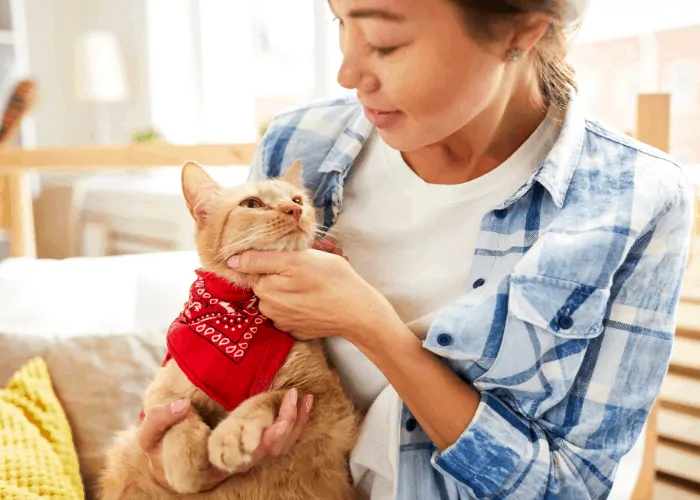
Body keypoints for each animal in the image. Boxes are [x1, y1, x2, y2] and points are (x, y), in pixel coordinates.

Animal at [98, 160, 358, 500]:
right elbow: (178, 415)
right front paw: (185, 460)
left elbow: (269, 397)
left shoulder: (328, 400)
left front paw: (234, 432)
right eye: (252, 204)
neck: (240, 310)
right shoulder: (162, 389)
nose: (294, 210)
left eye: (297, 200)